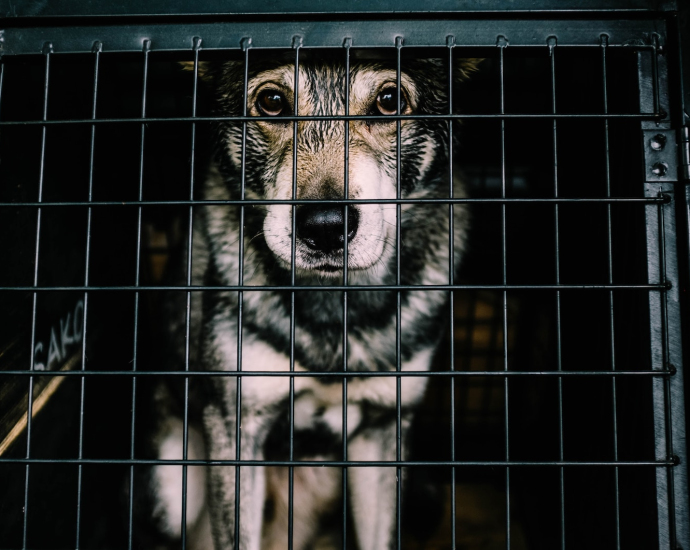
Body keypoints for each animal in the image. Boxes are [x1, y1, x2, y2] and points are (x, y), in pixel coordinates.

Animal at [140, 51, 478, 550]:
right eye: (272, 102)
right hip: (171, 491)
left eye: (389, 101)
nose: (324, 226)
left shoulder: (382, 429)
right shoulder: (236, 427)